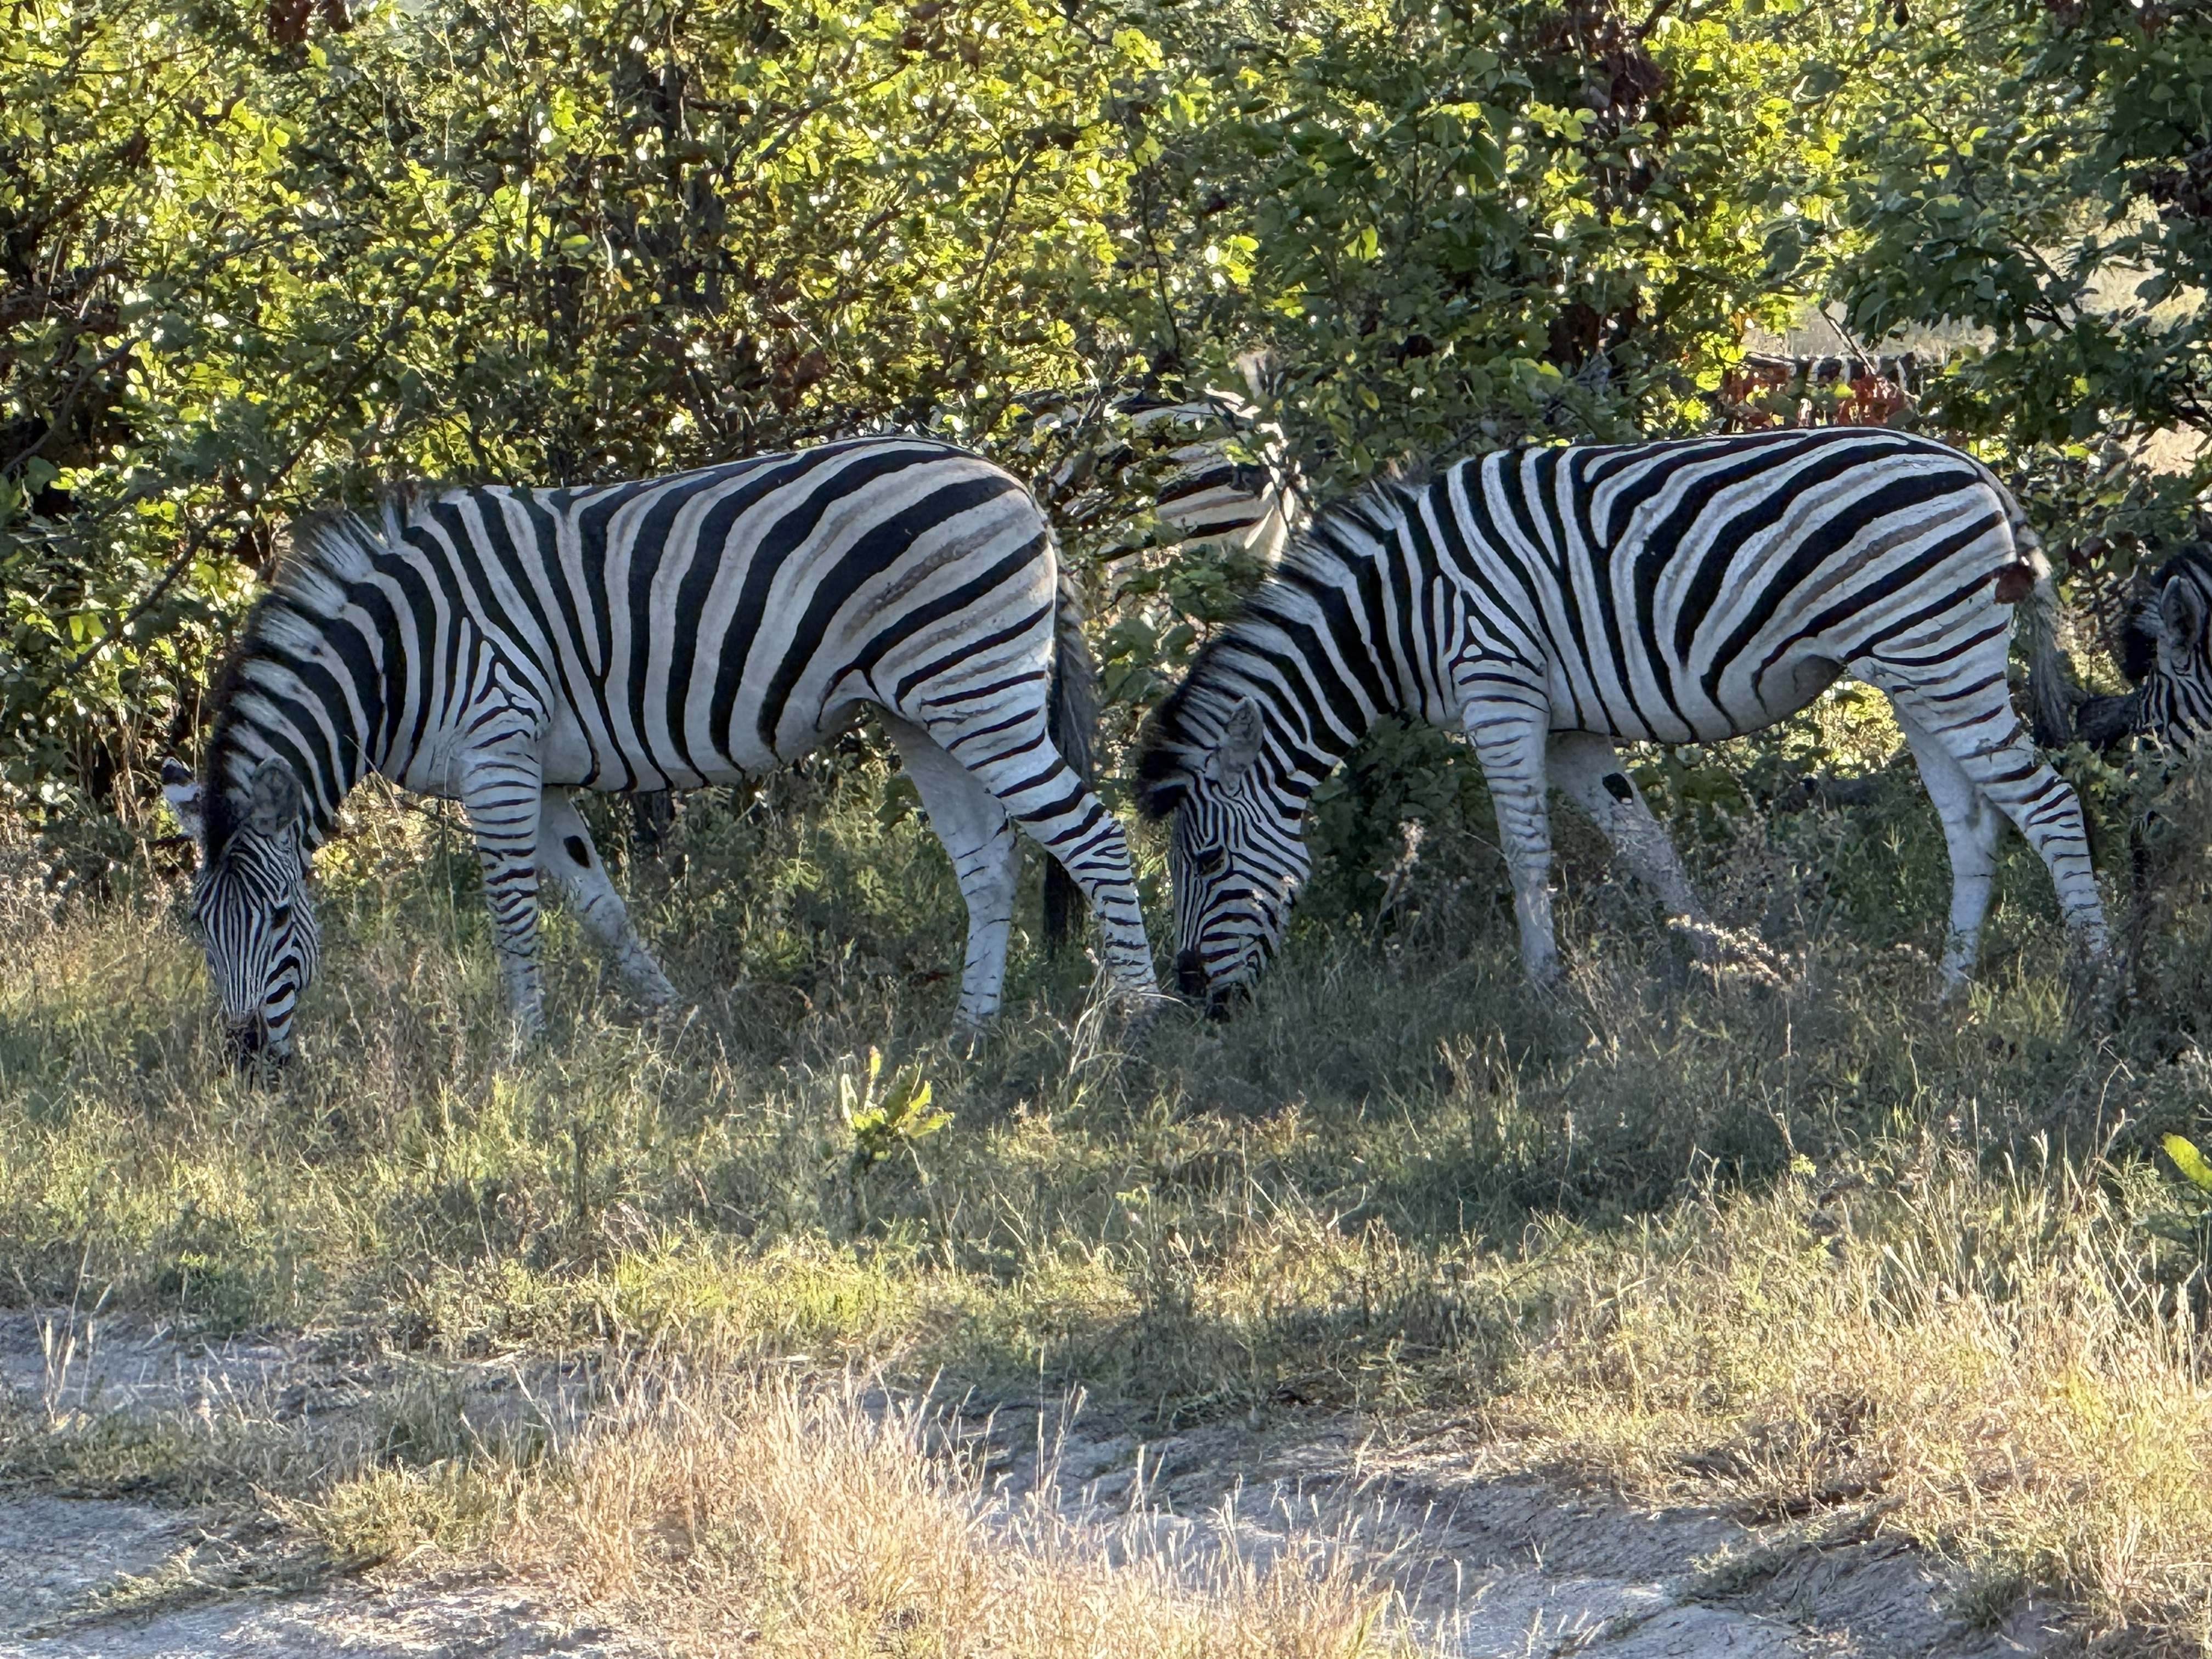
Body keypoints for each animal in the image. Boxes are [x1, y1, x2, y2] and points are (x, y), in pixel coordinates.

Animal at [161, 435, 1159, 1061]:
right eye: (199, 931)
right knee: (990, 864)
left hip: (979, 688)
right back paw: (969, 1034)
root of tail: (1020, 490)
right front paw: (672, 1018)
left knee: (1094, 837)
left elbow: (513, 913)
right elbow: (601, 906)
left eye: (282, 920)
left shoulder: (497, 747)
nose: (247, 1062)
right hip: (925, 711)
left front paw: (524, 1050)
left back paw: (1145, 1022)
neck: (397, 653)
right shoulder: (538, 771)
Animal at [1134, 425, 2111, 1004]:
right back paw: (1950, 991)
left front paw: (1543, 993)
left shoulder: (1499, 685)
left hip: (1940, 657)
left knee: (2050, 804)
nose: (1192, 995)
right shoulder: (1567, 728)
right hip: (1916, 670)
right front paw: (1722, 964)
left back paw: (2099, 983)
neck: (1398, 613)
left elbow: (1526, 852)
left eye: (1208, 861)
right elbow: (1647, 846)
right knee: (1973, 824)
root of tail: (1979, 471)